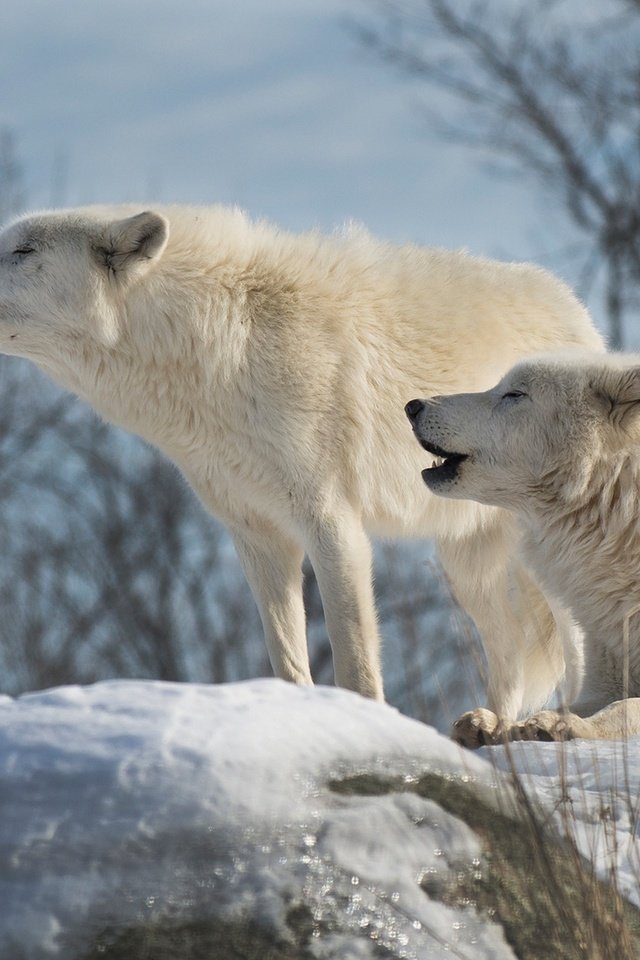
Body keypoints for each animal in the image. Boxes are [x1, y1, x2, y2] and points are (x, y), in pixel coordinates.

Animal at [0, 202, 600, 728]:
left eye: (23, 250)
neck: (222, 348)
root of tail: (577, 312)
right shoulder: (258, 535)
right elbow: (286, 658)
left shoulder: (331, 521)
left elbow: (354, 657)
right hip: (467, 564)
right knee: (510, 648)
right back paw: (491, 726)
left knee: (573, 642)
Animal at [408, 352, 640, 744]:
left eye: (515, 394)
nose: (412, 406)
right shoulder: (608, 673)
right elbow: (581, 703)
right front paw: (494, 725)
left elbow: (624, 709)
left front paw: (562, 727)